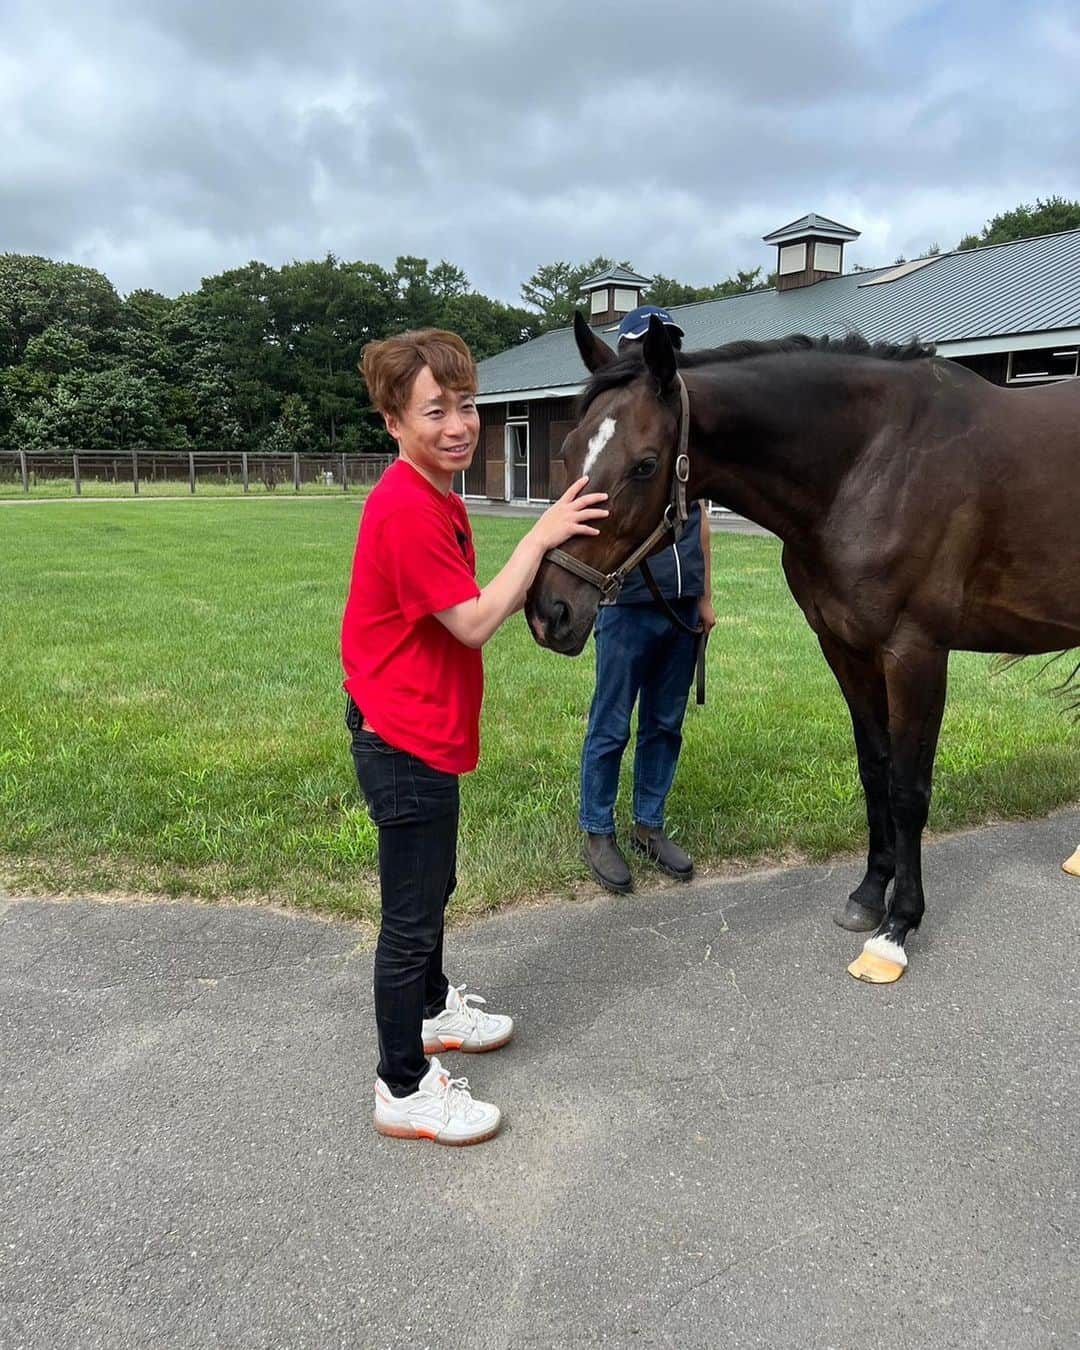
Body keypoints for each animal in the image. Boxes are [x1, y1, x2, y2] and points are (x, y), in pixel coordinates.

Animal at [526, 315, 1080, 988]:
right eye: (568, 450)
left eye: (645, 464)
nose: (550, 612)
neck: (871, 462)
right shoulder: (845, 647)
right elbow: (874, 771)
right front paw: (868, 897)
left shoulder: (915, 653)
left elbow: (907, 789)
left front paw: (895, 930)